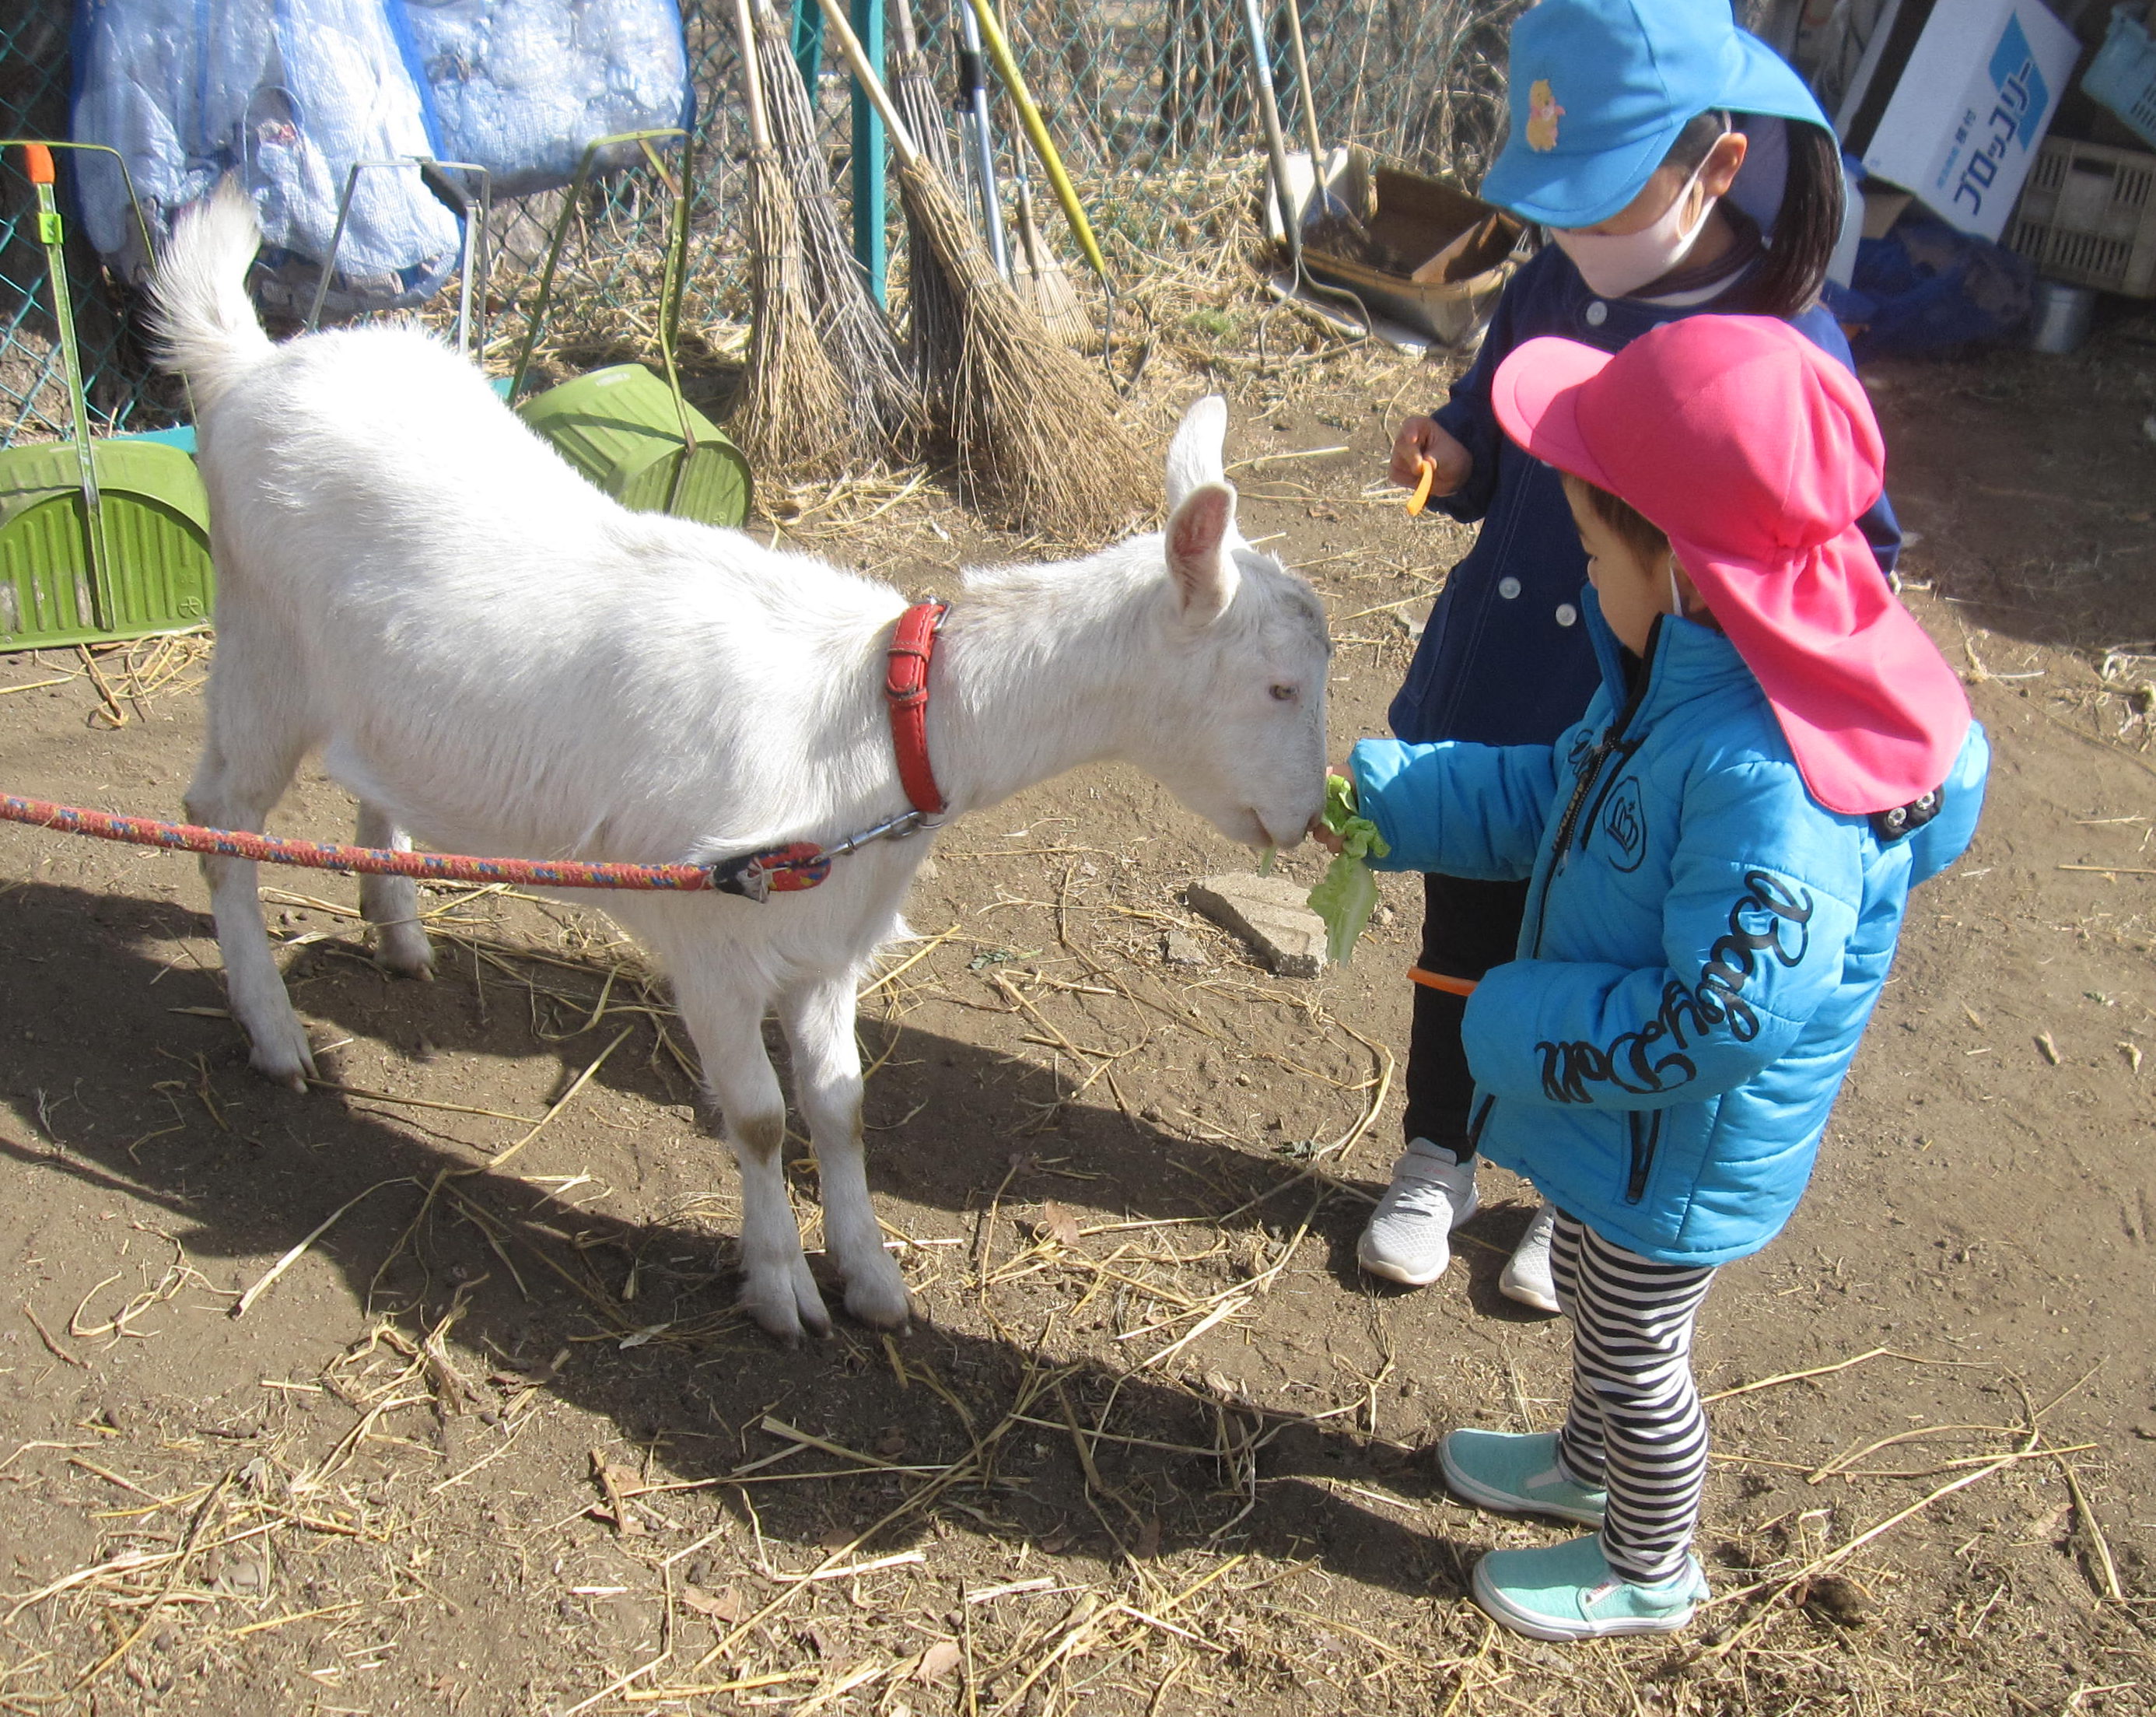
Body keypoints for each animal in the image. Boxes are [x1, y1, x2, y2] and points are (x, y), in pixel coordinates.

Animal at [152, 184, 1319, 1337]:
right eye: (1278, 685)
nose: (1307, 819)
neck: (876, 719)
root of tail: (249, 365)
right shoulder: (710, 939)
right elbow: (759, 1119)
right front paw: (781, 1288)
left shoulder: (827, 943)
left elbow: (842, 1110)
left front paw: (875, 1279)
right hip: (259, 649)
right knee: (216, 821)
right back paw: (274, 1031)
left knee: (367, 776)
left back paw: (396, 931)